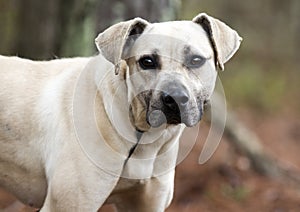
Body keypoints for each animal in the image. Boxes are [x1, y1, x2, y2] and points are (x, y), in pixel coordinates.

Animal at [0, 12, 240, 210]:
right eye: (147, 61)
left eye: (196, 60)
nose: (174, 98)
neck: (141, 136)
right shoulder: (67, 204)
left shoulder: (146, 204)